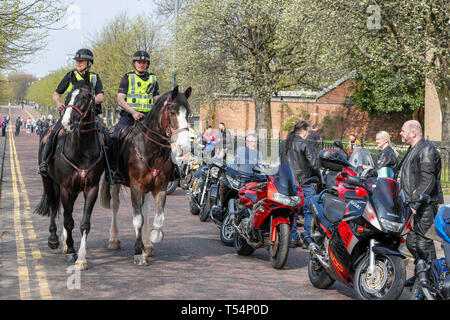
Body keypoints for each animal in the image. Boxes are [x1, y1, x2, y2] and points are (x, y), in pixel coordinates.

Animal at [34, 74, 105, 270]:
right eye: (66, 97)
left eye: (85, 97)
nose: (66, 123)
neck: (82, 149)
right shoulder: (65, 187)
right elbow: (68, 221)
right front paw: (71, 251)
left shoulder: (91, 188)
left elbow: (84, 223)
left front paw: (81, 258)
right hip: (49, 181)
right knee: (53, 205)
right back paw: (54, 240)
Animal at [100, 84, 192, 264]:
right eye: (172, 112)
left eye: (188, 113)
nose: (184, 146)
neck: (151, 149)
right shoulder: (136, 187)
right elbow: (137, 220)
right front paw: (138, 252)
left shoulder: (160, 187)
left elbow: (157, 218)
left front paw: (153, 238)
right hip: (115, 183)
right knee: (115, 206)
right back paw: (114, 240)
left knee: (146, 209)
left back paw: (147, 244)